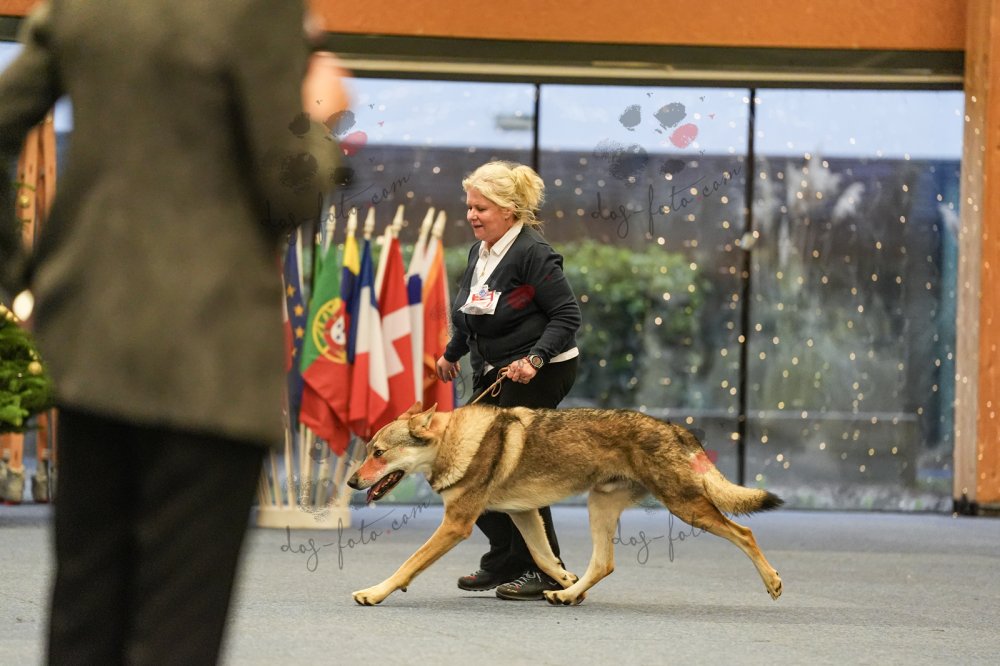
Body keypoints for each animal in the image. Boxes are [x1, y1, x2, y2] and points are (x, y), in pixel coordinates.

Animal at [347, 402, 783, 606]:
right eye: (367, 451)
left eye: (378, 453)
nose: (351, 482)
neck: (456, 441)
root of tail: (677, 428)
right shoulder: (522, 513)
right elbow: (544, 557)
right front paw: (564, 581)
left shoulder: (458, 523)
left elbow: (407, 565)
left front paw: (373, 592)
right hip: (600, 507)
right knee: (604, 564)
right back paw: (567, 596)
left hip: (686, 507)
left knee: (745, 531)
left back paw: (773, 582)